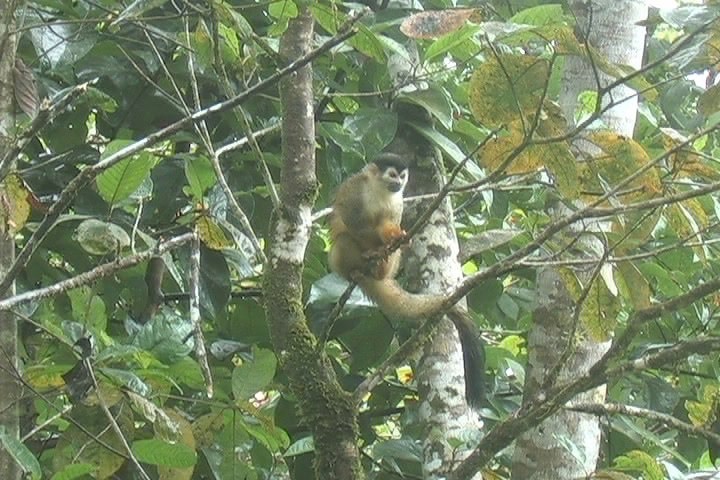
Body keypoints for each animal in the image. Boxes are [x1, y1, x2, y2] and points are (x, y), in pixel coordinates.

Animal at [330, 155, 486, 408]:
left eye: (402, 177)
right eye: (392, 175)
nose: (398, 183)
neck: (380, 190)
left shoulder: (398, 202)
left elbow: (388, 223)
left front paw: (391, 237)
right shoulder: (354, 188)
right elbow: (351, 220)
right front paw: (372, 246)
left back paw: (380, 267)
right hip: (339, 262)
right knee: (344, 239)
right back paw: (358, 268)